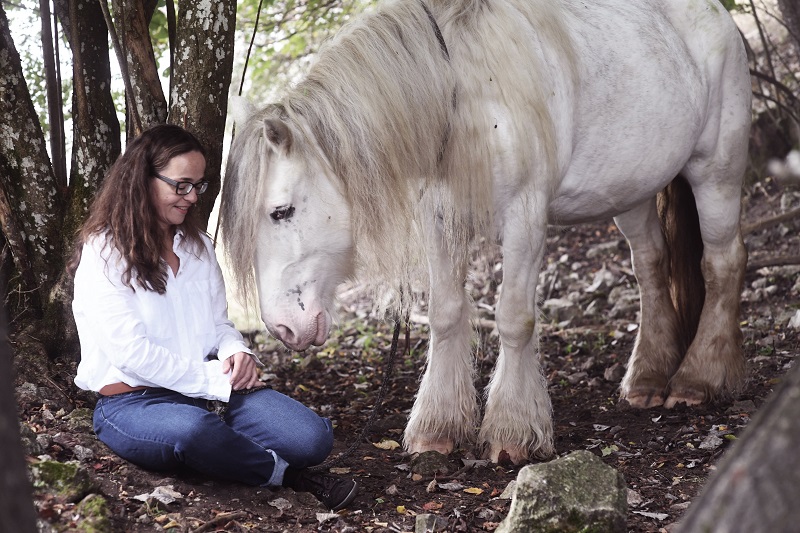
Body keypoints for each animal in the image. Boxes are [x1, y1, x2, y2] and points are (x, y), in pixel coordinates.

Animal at [220, 0, 751, 463]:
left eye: (281, 211)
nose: (282, 326)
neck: (463, 92)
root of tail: (718, 17)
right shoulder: (438, 218)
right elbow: (445, 314)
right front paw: (437, 428)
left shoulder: (525, 217)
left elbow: (514, 319)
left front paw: (512, 432)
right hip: (633, 193)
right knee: (651, 266)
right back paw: (646, 378)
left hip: (716, 172)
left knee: (722, 262)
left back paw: (697, 379)